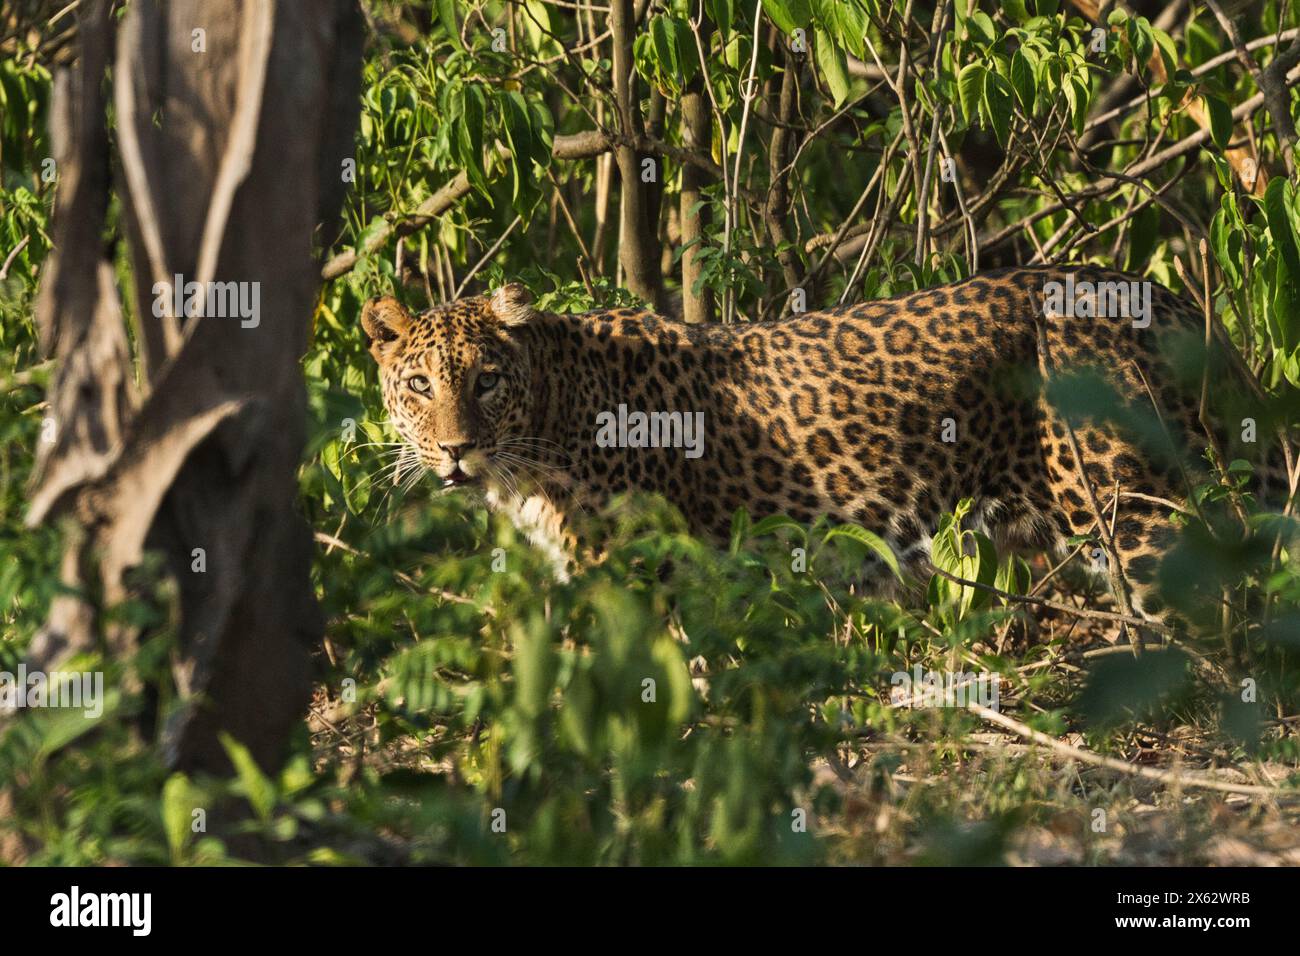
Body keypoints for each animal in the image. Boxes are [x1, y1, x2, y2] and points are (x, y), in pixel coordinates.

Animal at [361, 267, 1284, 629]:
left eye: (486, 380)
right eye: (419, 386)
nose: (455, 450)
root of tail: (1158, 293)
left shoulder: (628, 578)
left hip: (1131, 507)